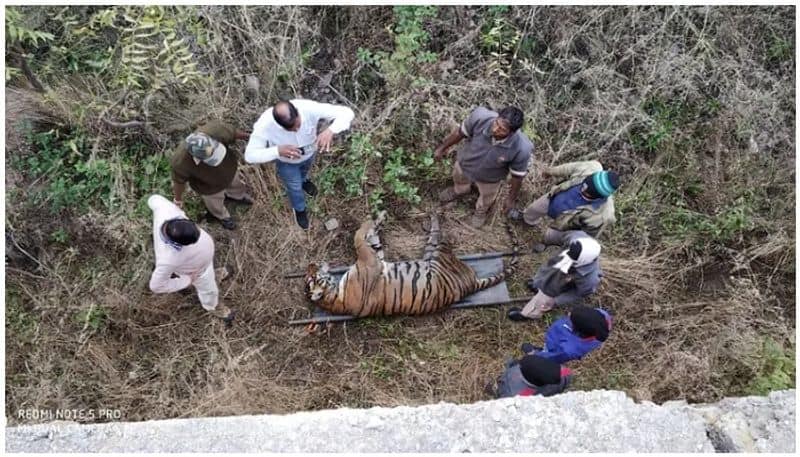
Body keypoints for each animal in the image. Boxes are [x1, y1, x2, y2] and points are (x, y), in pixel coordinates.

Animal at [304, 211, 520, 316]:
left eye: (312, 276)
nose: (311, 266)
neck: (332, 297)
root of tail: (472, 283)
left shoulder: (376, 259)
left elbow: (371, 240)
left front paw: (379, 218)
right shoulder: (369, 261)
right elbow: (359, 236)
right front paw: (372, 220)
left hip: (430, 253)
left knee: (434, 235)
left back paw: (431, 217)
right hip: (439, 255)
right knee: (443, 237)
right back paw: (441, 221)